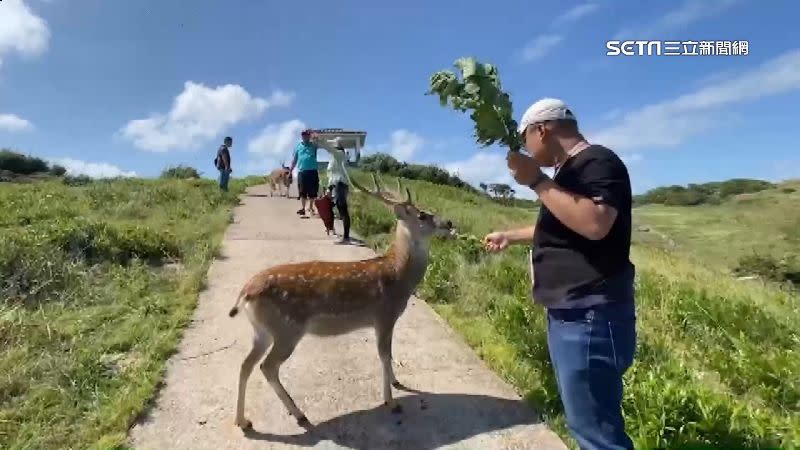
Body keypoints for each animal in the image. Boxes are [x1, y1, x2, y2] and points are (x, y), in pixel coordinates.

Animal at [231, 173, 456, 428]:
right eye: (422, 215)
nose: (449, 223)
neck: (399, 277)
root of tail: (246, 291)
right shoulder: (384, 315)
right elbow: (384, 355)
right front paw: (391, 401)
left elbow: (389, 355)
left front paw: (396, 382)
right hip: (287, 328)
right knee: (267, 367)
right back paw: (299, 414)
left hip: (263, 331)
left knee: (246, 364)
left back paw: (243, 420)